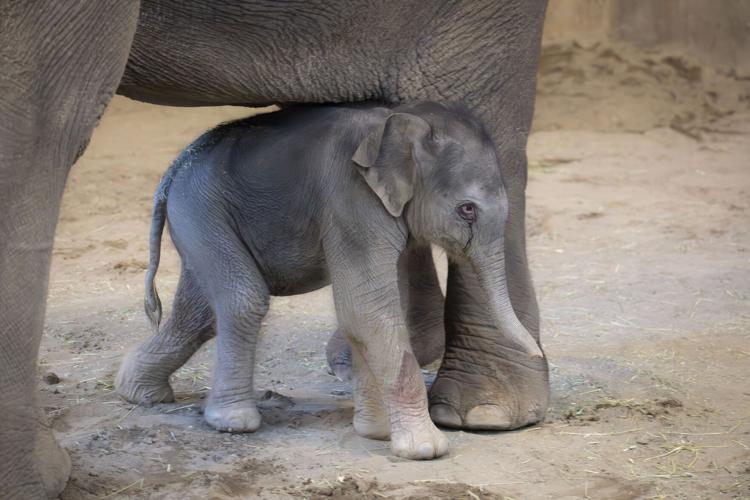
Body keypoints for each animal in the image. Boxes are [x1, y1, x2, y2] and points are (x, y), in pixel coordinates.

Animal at [114, 102, 544, 460]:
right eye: (467, 209)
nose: (538, 353)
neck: (404, 118)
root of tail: (172, 170)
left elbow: (369, 311)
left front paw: (376, 432)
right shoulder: (353, 203)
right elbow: (366, 308)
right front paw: (425, 449)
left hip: (198, 217)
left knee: (199, 312)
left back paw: (141, 393)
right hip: (201, 209)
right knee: (242, 300)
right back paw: (234, 422)